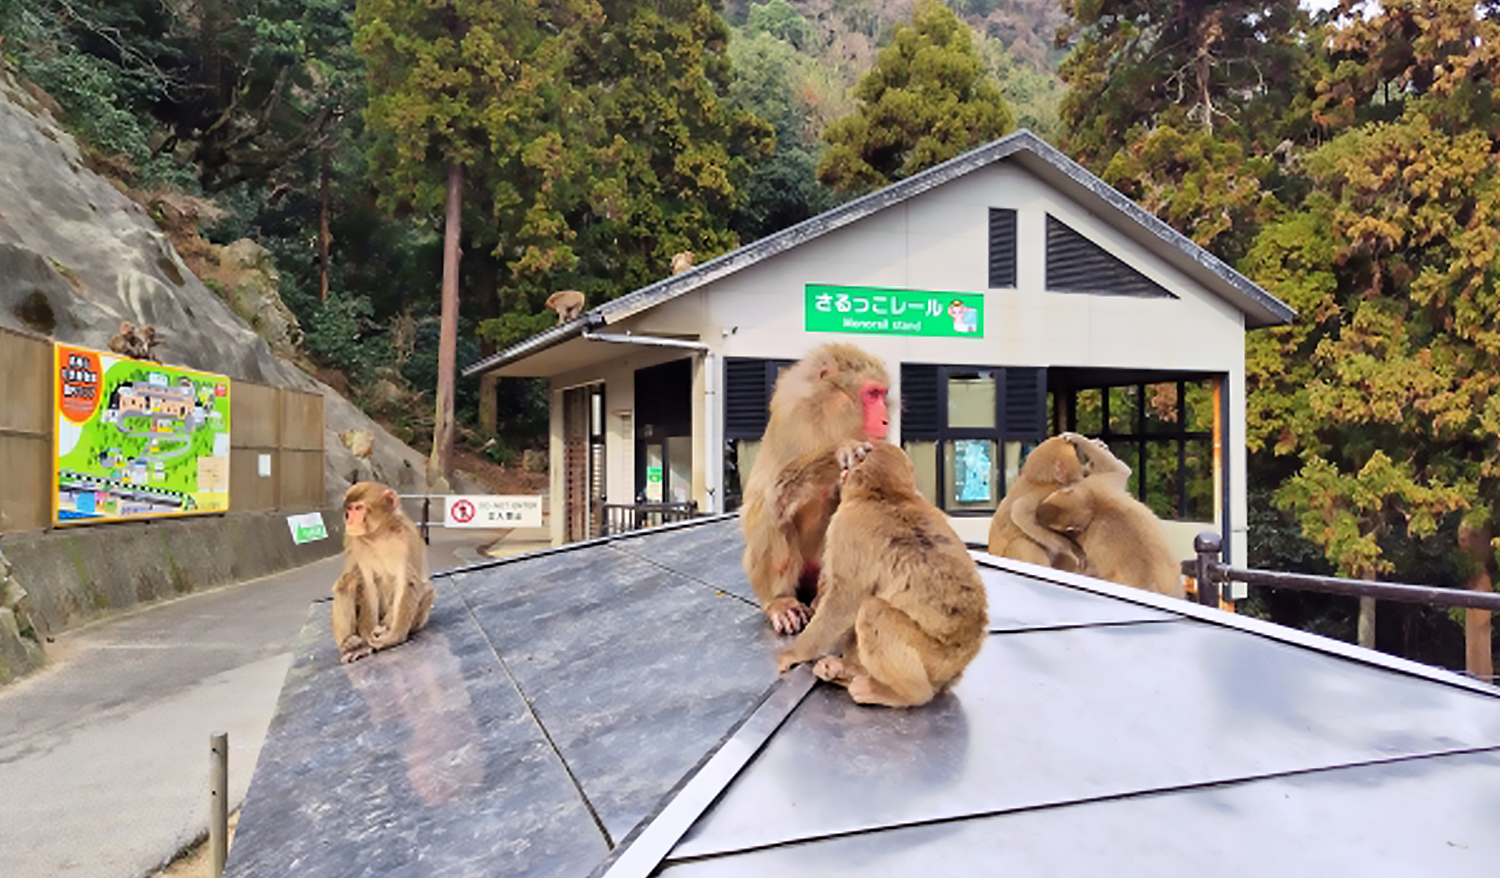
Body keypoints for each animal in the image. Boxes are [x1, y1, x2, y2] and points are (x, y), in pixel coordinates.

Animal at [333, 483, 435, 660]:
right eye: (350, 509)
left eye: (359, 508)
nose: (349, 519)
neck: (378, 535)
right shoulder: (355, 541)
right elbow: (367, 584)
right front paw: (366, 639)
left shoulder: (407, 536)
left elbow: (407, 582)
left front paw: (394, 637)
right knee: (348, 581)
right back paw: (350, 643)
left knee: (426, 589)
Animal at [780, 441, 990, 708]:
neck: (886, 494)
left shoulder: (845, 527)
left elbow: (843, 601)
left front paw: (793, 654)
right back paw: (850, 671)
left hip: (935, 658)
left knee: (872, 610)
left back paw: (899, 694)